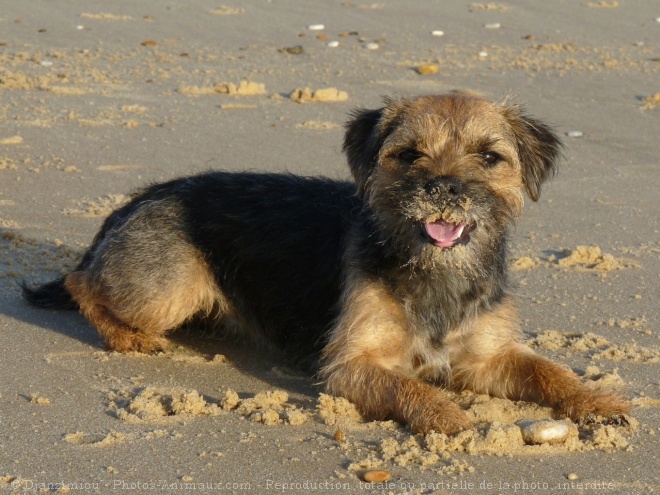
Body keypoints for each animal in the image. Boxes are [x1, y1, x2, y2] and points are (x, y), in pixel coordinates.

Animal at [21, 93, 628, 434]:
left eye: (489, 156)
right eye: (409, 154)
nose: (446, 188)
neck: (434, 273)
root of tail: (139, 198)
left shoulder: (490, 359)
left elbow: (551, 371)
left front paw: (598, 400)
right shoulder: (351, 365)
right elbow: (410, 388)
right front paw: (446, 414)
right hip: (168, 289)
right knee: (81, 281)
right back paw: (127, 336)